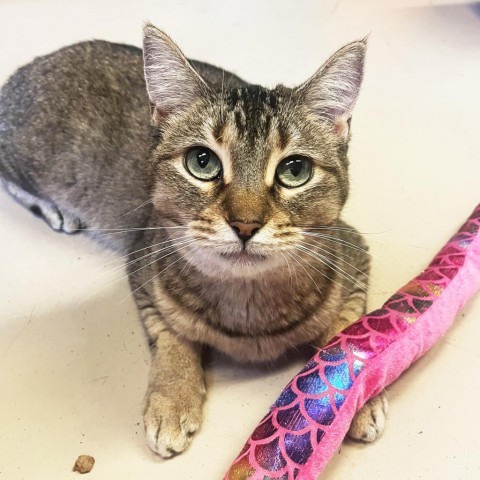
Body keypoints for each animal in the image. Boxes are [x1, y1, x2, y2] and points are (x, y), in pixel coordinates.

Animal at [0, 22, 386, 458]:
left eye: (295, 170)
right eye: (202, 162)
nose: (245, 224)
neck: (248, 304)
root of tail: (25, 72)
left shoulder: (355, 254)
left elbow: (344, 330)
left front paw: (357, 393)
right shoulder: (142, 266)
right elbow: (170, 334)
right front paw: (171, 397)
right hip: (26, 158)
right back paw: (55, 211)